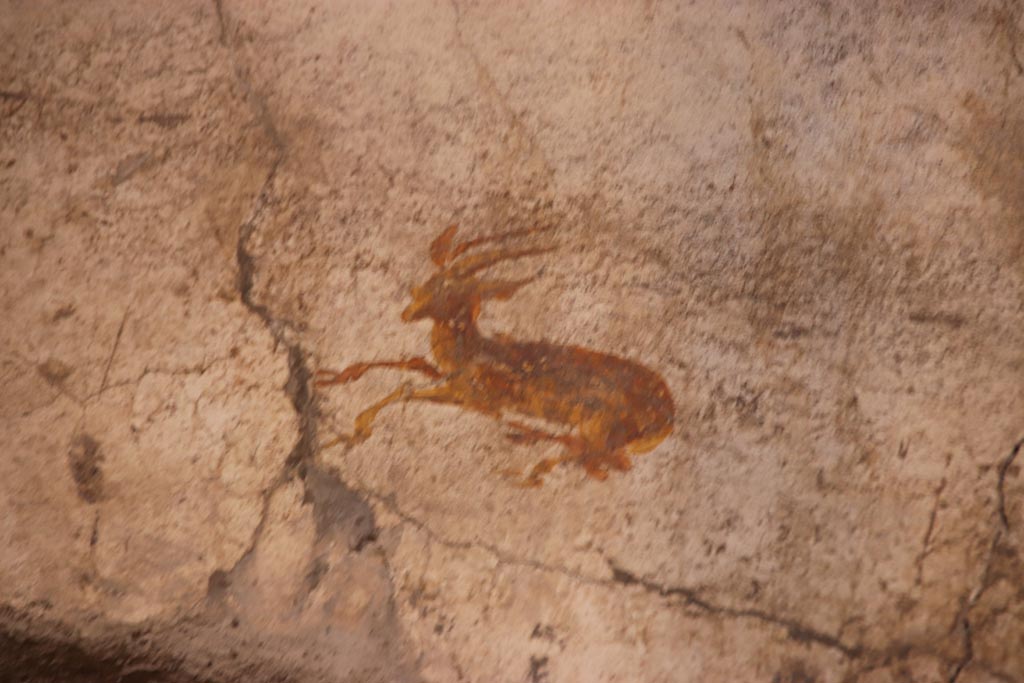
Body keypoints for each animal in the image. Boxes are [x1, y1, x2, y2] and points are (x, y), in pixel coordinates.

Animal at [314, 224, 675, 486]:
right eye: (434, 279)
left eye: (452, 289)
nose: (407, 312)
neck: (470, 350)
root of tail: (667, 414)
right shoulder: (444, 374)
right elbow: (406, 364)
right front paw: (329, 380)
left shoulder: (471, 398)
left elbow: (406, 388)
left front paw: (355, 432)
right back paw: (523, 438)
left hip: (598, 429)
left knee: (591, 456)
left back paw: (523, 469)